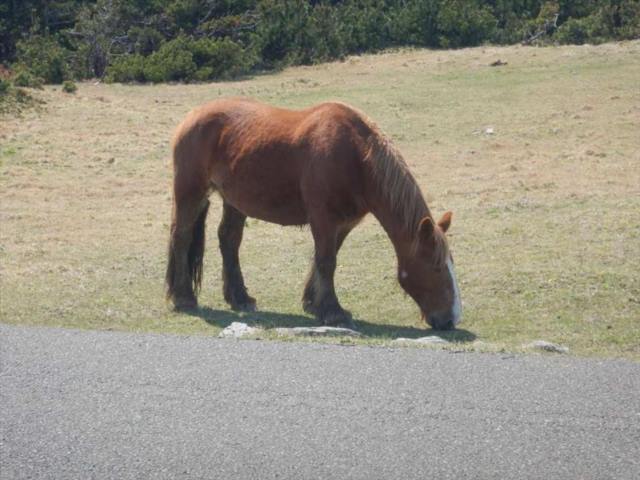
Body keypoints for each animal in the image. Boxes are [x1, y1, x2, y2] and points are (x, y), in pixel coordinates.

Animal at [165, 98, 462, 330]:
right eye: (436, 266)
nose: (451, 319)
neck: (357, 156)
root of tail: (191, 116)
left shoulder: (343, 223)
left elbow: (324, 259)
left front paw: (312, 302)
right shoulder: (323, 219)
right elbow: (327, 261)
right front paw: (332, 312)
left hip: (234, 201)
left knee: (229, 240)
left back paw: (239, 298)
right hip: (190, 192)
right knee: (181, 237)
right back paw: (184, 298)